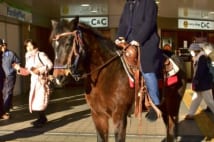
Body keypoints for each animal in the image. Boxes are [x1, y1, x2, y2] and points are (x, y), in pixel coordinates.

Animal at [49, 17, 186, 142]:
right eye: (53, 45)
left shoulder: (119, 116)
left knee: (171, 130)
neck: (105, 74)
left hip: (172, 107)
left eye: (69, 42)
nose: (58, 78)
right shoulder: (98, 116)